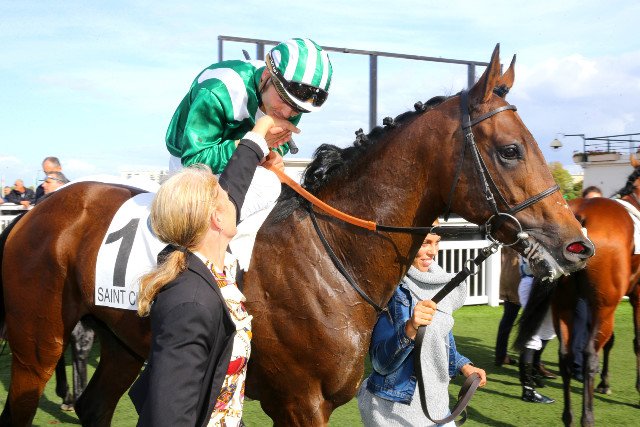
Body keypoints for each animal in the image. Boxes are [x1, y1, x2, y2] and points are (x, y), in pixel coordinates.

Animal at [0, 44, 594, 426]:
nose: (578, 245)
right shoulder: (299, 403)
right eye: (511, 150)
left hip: (125, 341)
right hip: (37, 348)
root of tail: (35, 210)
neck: (333, 257)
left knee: (97, 406)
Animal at [544, 158, 640, 427]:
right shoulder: (637, 295)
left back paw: (568, 416)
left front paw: (605, 382)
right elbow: (637, 341)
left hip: (563, 304)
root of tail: (580, 216)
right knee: (589, 354)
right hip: (603, 306)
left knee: (565, 356)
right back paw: (587, 417)